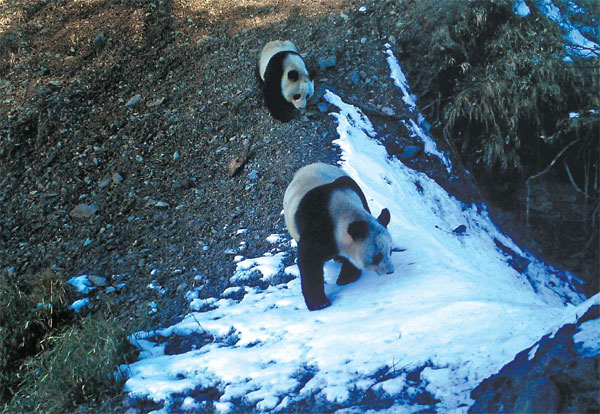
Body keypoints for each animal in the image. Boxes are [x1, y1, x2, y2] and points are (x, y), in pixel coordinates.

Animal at [284, 162, 396, 310]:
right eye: (377, 256)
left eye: (390, 251)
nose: (390, 271)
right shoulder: (315, 225)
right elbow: (309, 261)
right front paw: (320, 303)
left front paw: (346, 277)